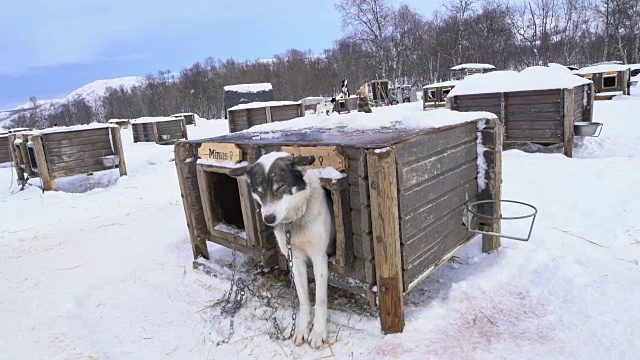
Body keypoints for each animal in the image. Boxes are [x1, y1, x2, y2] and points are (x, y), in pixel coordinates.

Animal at [228, 152, 336, 348]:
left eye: (280, 186)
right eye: (259, 191)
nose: (269, 218)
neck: (295, 221)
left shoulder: (319, 258)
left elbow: (320, 300)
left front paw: (318, 332)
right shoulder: (296, 260)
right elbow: (303, 299)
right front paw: (302, 329)